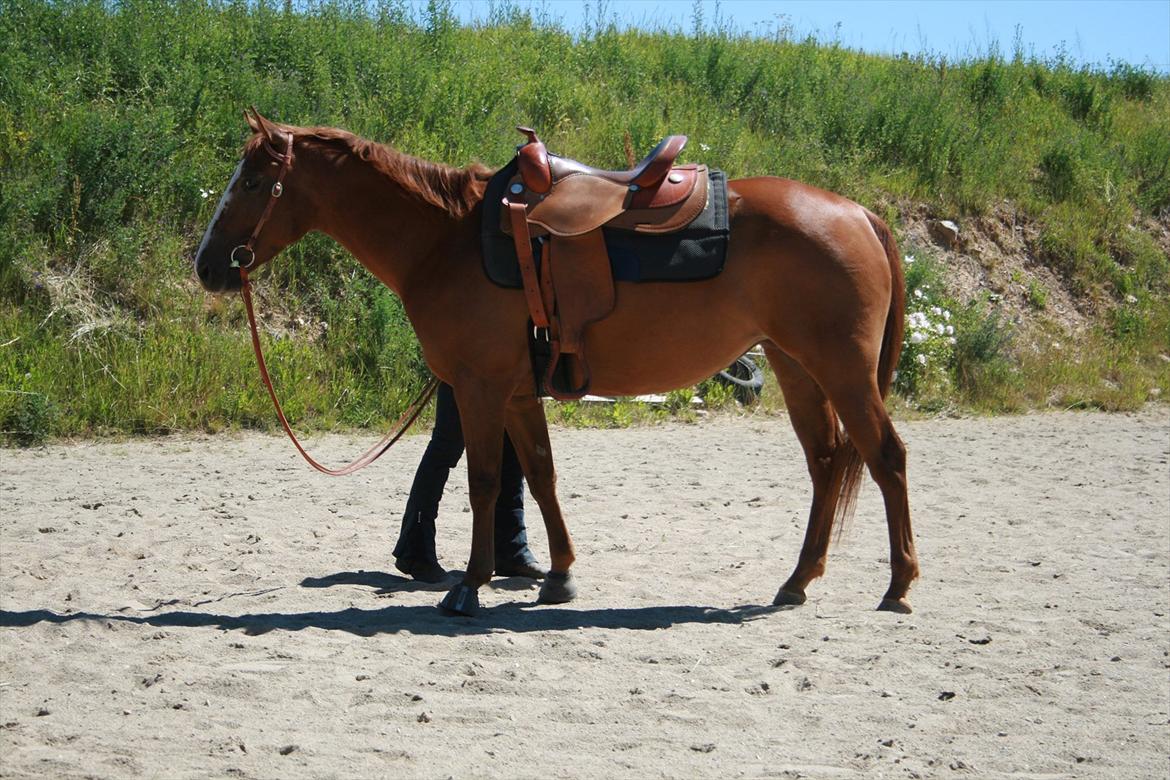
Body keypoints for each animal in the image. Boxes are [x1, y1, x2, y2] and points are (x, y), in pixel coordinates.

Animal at [196, 112, 917, 617]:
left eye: (254, 181)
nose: (206, 265)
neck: (446, 240)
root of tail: (860, 213)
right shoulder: (516, 394)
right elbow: (539, 476)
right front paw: (560, 575)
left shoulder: (482, 389)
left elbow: (486, 481)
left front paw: (469, 586)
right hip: (798, 367)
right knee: (826, 462)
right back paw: (797, 582)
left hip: (842, 370)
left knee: (884, 456)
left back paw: (899, 585)